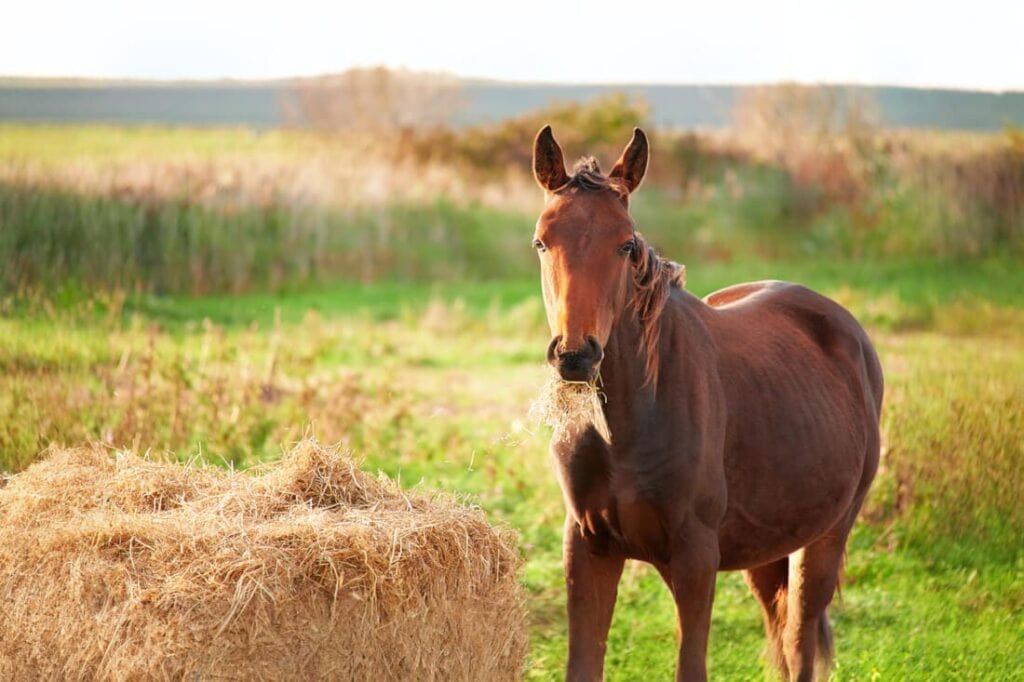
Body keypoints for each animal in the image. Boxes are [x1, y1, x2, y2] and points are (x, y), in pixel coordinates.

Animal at [531, 125, 883, 681]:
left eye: (625, 244)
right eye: (542, 241)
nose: (575, 355)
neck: (629, 425)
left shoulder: (695, 559)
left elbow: (691, 664)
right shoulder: (587, 548)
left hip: (823, 542)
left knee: (800, 641)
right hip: (768, 551)